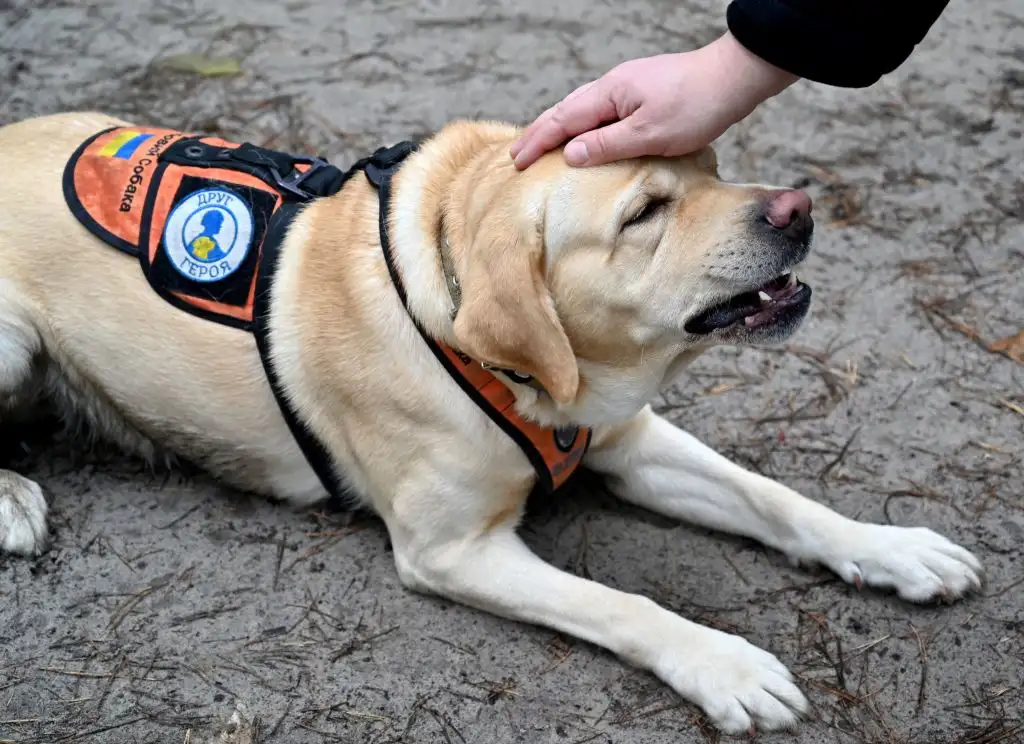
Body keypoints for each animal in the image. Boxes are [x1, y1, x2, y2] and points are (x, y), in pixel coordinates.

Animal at [0, 110, 978, 732]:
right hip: (12, 341)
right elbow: (622, 602)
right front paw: (724, 663)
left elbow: (777, 500)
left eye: (712, 165)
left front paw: (891, 549)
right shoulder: (452, 550)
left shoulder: (628, 440)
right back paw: (13, 497)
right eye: (645, 213)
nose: (798, 207)